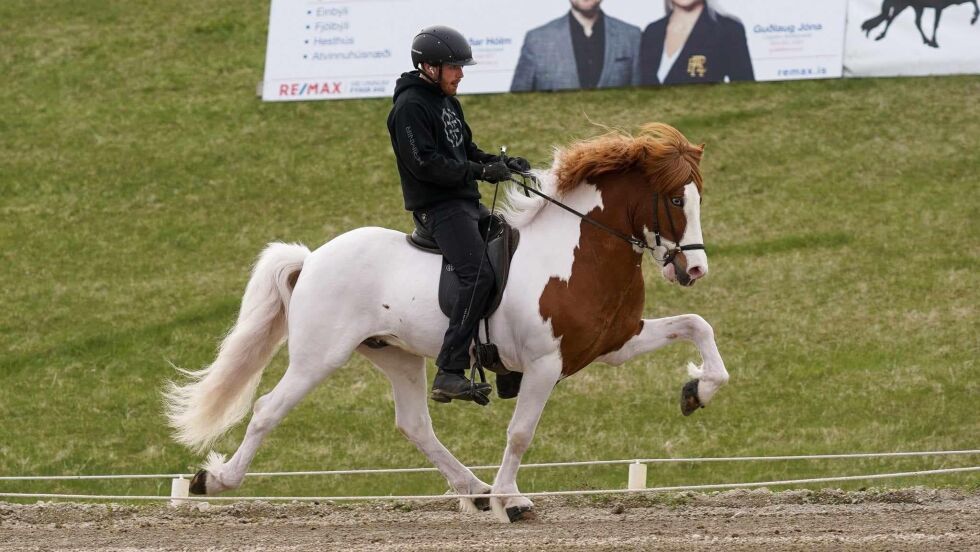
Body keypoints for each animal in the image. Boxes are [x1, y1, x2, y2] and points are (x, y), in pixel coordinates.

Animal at [163, 121, 728, 520]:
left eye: (699, 197)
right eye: (675, 199)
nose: (695, 269)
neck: (578, 250)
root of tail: (312, 259)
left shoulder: (614, 344)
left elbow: (697, 324)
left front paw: (696, 391)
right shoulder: (544, 364)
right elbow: (520, 433)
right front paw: (511, 501)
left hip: (396, 355)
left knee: (414, 424)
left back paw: (473, 490)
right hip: (318, 357)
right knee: (266, 410)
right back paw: (214, 481)